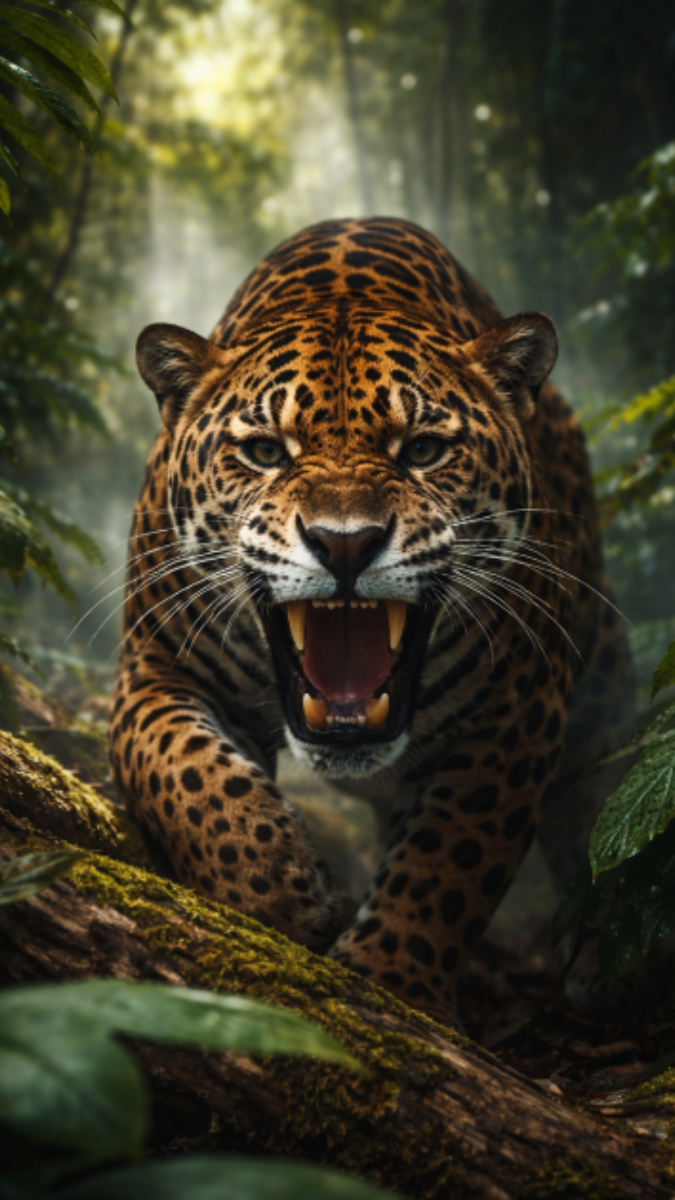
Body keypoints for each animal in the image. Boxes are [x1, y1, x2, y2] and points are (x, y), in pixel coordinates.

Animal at [110, 217, 635, 1027]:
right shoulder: (154, 665)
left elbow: (447, 864)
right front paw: (280, 896)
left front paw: (392, 986)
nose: (345, 542)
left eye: (422, 449)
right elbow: (185, 774)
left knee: (599, 799)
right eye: (265, 451)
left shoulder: (519, 709)